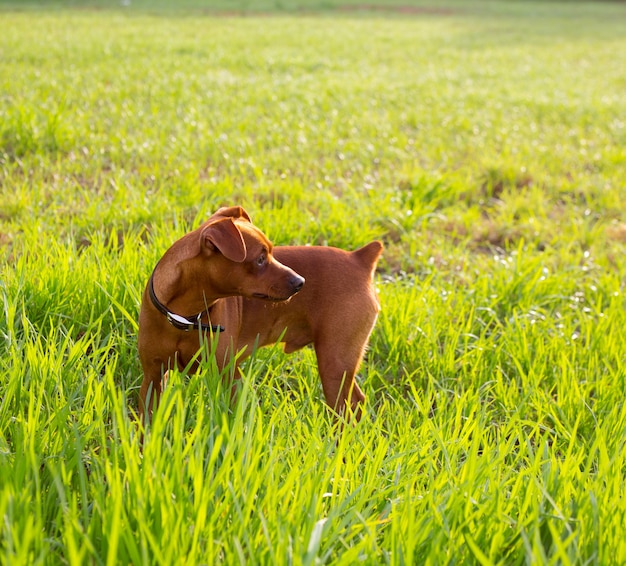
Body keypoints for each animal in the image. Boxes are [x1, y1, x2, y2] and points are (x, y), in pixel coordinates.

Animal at [136, 206, 380, 424]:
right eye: (261, 259)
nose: (300, 282)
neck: (183, 316)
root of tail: (359, 259)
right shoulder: (153, 377)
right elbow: (147, 422)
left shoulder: (228, 376)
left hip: (334, 363)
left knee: (348, 407)